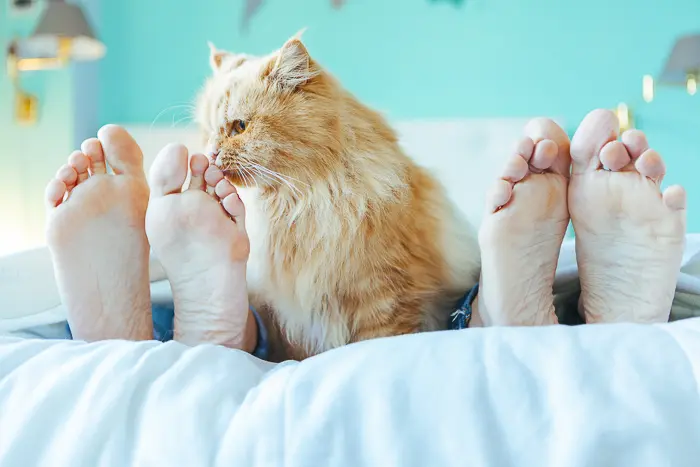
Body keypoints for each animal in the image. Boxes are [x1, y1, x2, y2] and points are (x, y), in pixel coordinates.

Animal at [197, 33, 482, 362]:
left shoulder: (384, 297)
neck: (301, 204)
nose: (210, 154)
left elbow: (380, 343)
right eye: (207, 132)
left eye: (240, 127)